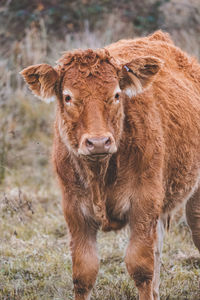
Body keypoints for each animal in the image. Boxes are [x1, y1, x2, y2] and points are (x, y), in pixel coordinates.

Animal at [20, 31, 200, 300]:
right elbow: (84, 273)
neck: (100, 175)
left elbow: (141, 269)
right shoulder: (74, 210)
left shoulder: (144, 205)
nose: (98, 142)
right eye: (68, 97)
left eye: (116, 95)